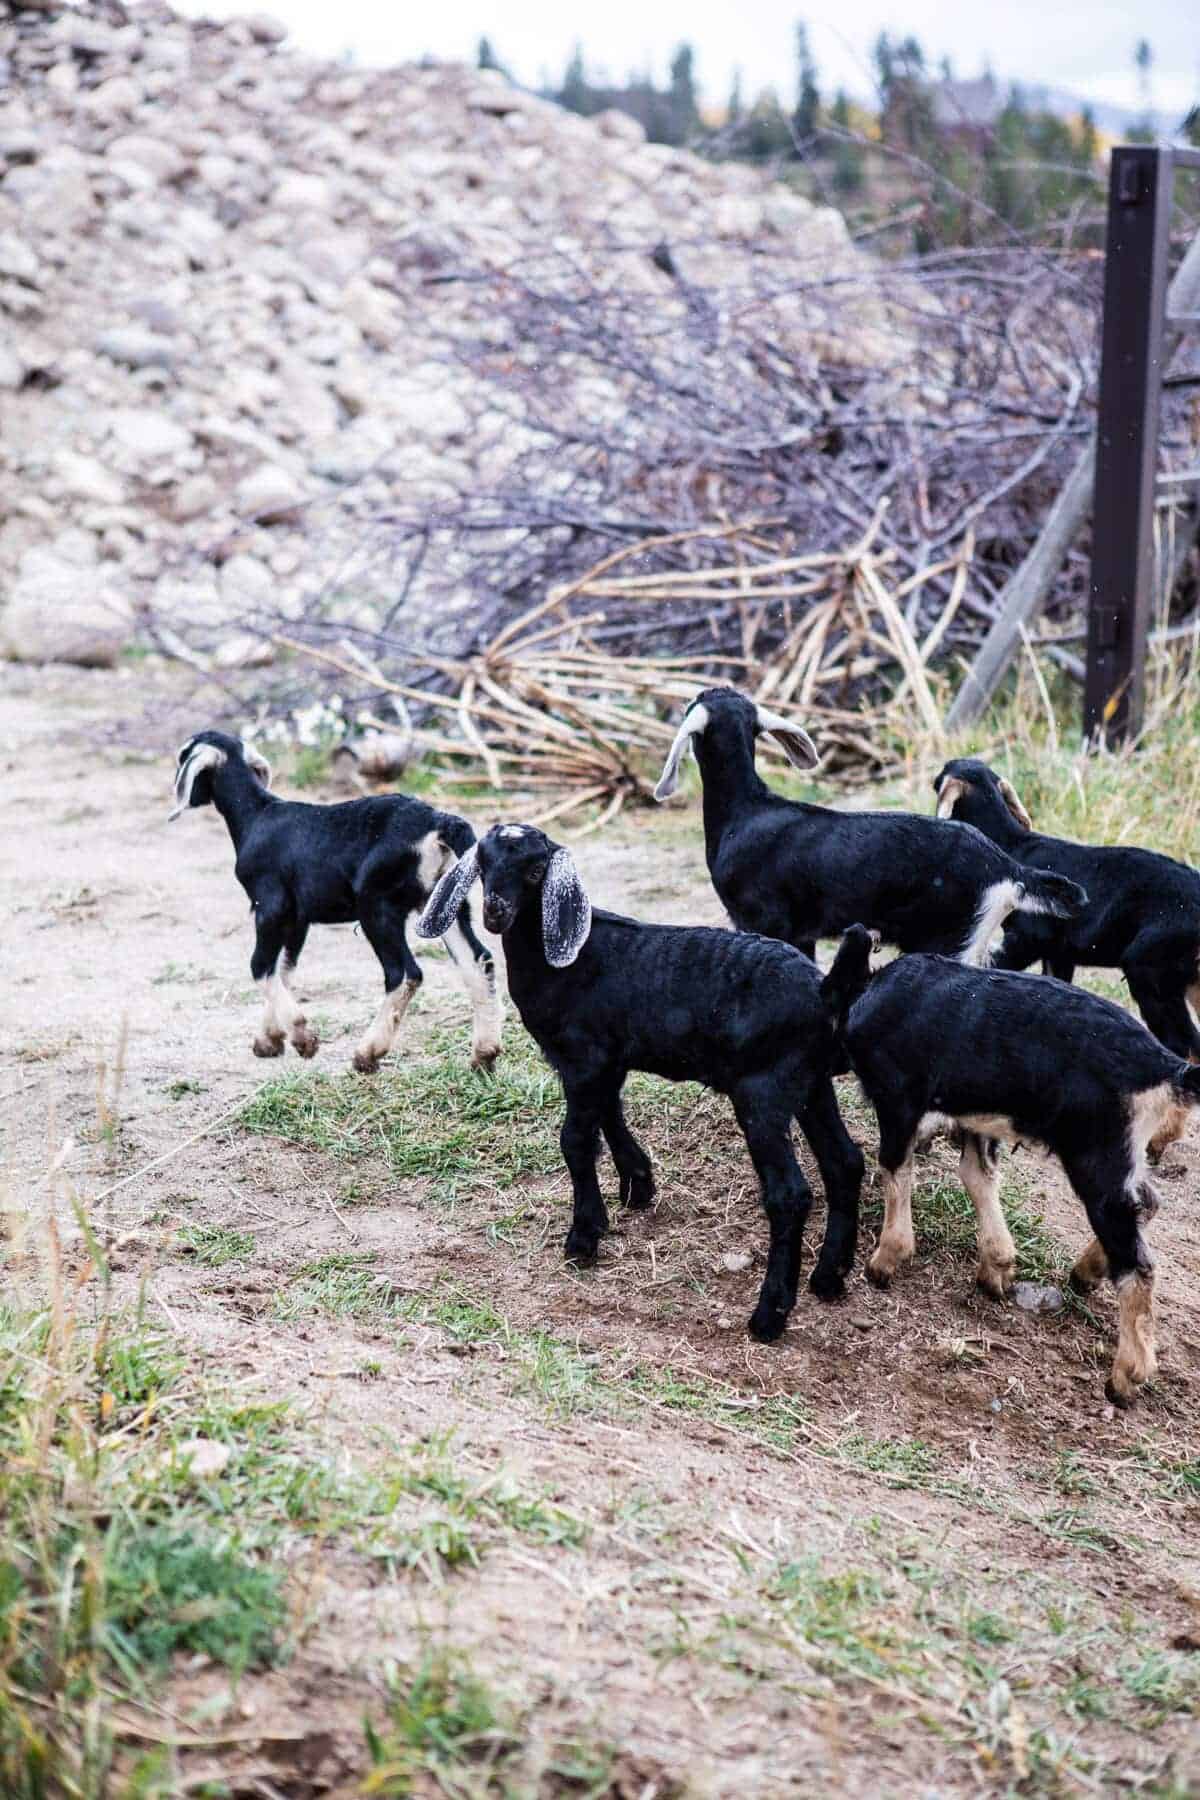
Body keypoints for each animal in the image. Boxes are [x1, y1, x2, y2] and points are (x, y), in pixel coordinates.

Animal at [169, 730, 502, 1074]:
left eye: (182, 756)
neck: (255, 815)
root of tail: (439, 823)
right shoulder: (297, 919)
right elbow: (283, 968)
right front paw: (269, 1039)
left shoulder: (270, 906)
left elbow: (260, 965)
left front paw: (302, 1038)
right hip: (443, 903)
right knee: (478, 961)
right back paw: (484, 1054)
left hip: (377, 906)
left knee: (404, 974)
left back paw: (368, 1053)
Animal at [416, 824, 865, 1342]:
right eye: (483, 865)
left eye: (535, 870)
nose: (494, 912)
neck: (564, 958)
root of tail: (824, 991)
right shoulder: (604, 1061)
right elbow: (609, 1117)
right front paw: (638, 1186)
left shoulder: (585, 1058)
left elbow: (575, 1140)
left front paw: (584, 1236)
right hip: (811, 1085)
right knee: (845, 1163)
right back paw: (829, 1277)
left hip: (763, 1091)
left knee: (790, 1195)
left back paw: (769, 1315)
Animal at [823, 926, 1200, 1405]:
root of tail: (1166, 1068)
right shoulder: (975, 1119)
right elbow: (977, 1174)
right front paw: (996, 1273)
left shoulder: (898, 1098)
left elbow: (894, 1164)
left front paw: (883, 1264)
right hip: (1121, 1155)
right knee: (1147, 1202)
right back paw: (1084, 1274)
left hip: (1097, 1155)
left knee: (1137, 1261)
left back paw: (1125, 1377)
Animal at [936, 757, 1200, 1146]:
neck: (1014, 844)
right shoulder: (1059, 954)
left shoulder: (1027, 939)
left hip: (1149, 971)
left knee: (1184, 1045)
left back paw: (1162, 1136)